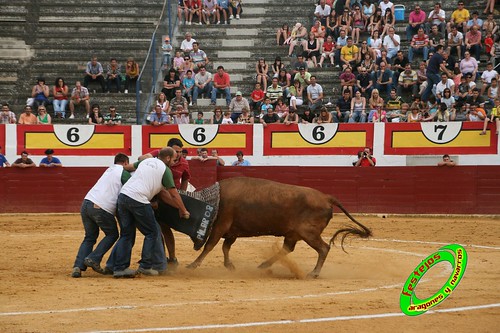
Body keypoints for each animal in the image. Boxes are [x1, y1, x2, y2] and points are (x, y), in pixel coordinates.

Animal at [184, 176, 372, 278]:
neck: (216, 199)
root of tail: (327, 197)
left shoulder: (221, 226)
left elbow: (210, 246)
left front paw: (193, 265)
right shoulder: (232, 232)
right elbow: (225, 247)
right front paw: (229, 266)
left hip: (308, 233)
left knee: (323, 248)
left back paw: (313, 273)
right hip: (293, 233)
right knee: (287, 248)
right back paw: (263, 265)